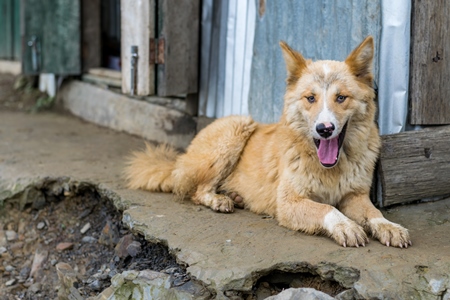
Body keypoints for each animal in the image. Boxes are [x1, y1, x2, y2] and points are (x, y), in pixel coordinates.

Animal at [125, 37, 412, 248]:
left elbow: (373, 213)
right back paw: (220, 200)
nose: (324, 129)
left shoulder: (355, 196)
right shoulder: (288, 202)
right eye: (310, 98)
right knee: (194, 190)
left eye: (341, 97)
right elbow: (326, 208)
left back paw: (235, 196)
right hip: (237, 128)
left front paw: (389, 226)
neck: (330, 168)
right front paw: (346, 226)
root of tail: (178, 161)